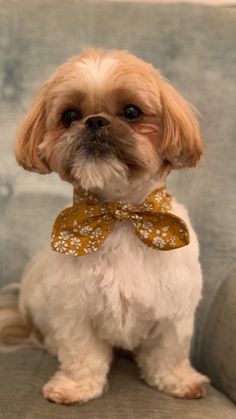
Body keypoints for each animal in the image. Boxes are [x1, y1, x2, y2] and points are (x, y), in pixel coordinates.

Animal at [1, 47, 208, 406]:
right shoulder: (75, 312)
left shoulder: (174, 312)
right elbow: (82, 355)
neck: (120, 218)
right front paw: (75, 387)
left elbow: (169, 353)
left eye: (131, 111)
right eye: (69, 115)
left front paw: (178, 381)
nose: (95, 121)